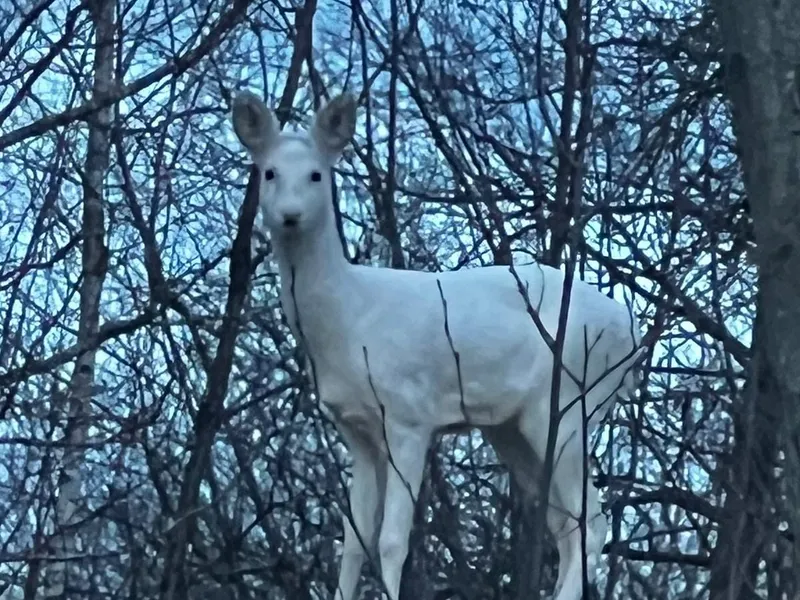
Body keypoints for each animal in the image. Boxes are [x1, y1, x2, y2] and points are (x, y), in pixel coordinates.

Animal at [231, 89, 644, 600]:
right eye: (268, 172)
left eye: (316, 174)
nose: (289, 215)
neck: (349, 318)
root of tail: (630, 330)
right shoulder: (355, 430)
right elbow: (353, 539)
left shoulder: (409, 415)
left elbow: (391, 541)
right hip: (515, 428)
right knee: (566, 524)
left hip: (572, 401)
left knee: (594, 519)